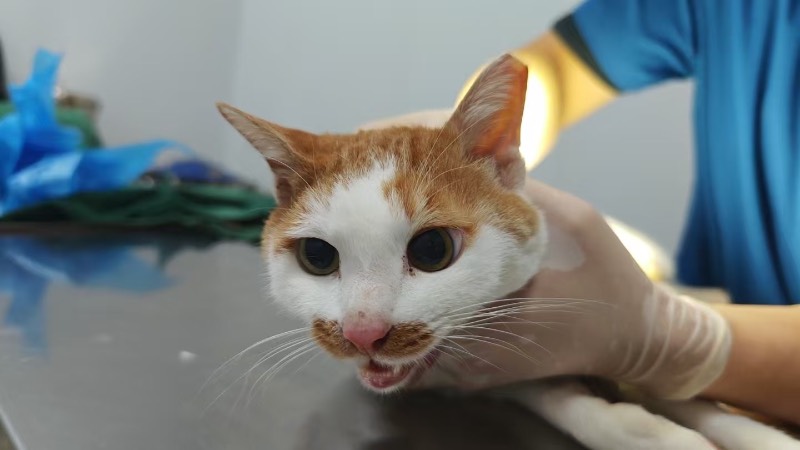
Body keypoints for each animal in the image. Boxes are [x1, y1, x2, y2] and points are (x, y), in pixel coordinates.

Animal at [217, 54, 800, 450]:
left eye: (433, 249)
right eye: (318, 258)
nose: (363, 332)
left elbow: (688, 388)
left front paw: (759, 435)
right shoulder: (498, 373)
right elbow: (568, 400)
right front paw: (647, 432)